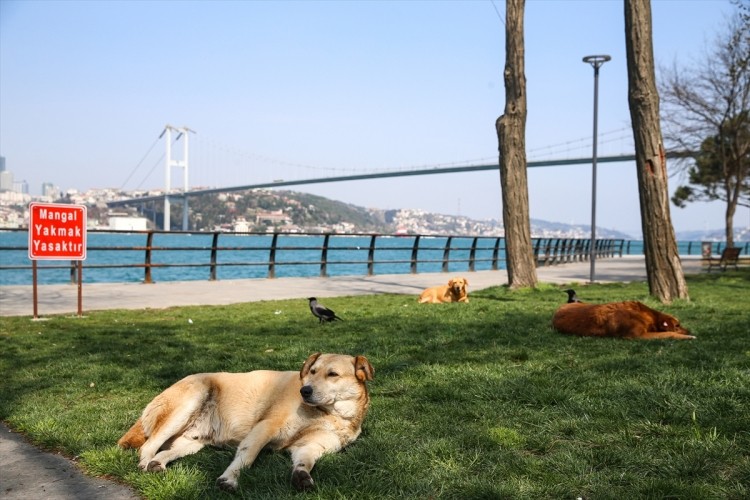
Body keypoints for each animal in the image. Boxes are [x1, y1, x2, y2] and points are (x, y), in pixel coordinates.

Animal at [119, 354, 374, 494]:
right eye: (312, 371)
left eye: (333, 374)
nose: (305, 390)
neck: (329, 413)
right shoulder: (265, 427)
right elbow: (247, 456)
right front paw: (229, 480)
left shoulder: (311, 446)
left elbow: (305, 461)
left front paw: (301, 475)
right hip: (188, 403)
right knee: (148, 446)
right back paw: (144, 464)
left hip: (193, 441)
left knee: (164, 452)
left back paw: (157, 464)